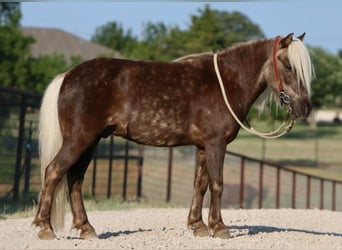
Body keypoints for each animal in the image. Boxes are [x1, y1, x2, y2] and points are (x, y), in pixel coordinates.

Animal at [33, 32, 314, 239]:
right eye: (288, 66)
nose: (305, 108)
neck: (226, 81)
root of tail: (67, 76)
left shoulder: (203, 147)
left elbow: (200, 184)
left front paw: (198, 226)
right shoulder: (216, 144)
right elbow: (217, 184)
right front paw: (219, 227)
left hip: (89, 142)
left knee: (75, 180)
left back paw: (86, 228)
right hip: (79, 140)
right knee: (54, 172)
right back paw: (46, 229)